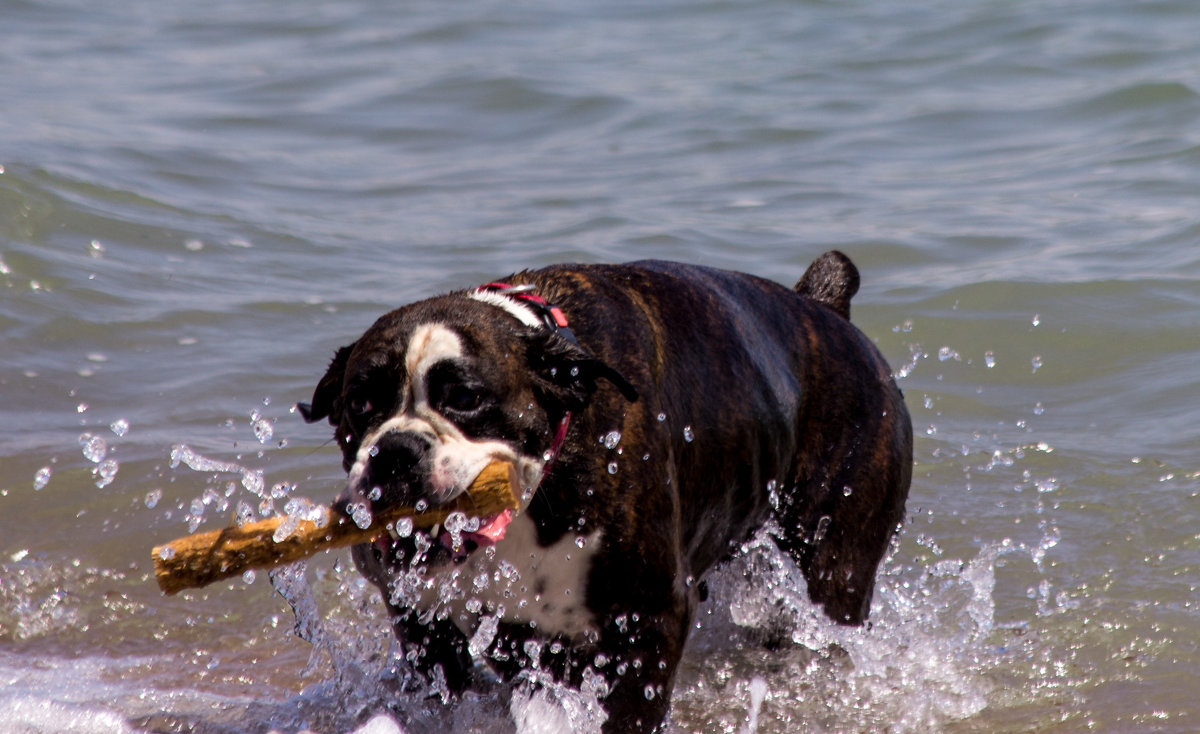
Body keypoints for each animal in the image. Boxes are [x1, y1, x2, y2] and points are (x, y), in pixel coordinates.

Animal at [297, 250, 907, 729]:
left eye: (465, 398)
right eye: (359, 403)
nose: (395, 449)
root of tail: (824, 310)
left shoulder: (648, 619)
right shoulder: (428, 624)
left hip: (834, 568)